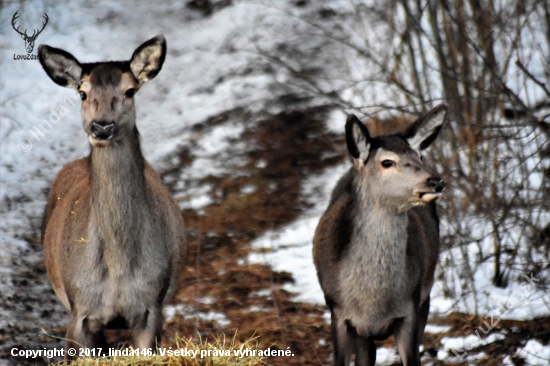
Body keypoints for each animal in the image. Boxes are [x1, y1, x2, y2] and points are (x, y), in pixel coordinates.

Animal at [39, 35, 188, 358]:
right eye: (82, 92)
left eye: (129, 90)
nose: (101, 126)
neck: (118, 267)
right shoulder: (79, 311)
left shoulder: (151, 305)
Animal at [314, 103, 448, 366]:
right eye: (387, 162)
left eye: (418, 156)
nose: (436, 181)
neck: (372, 303)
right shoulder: (338, 312)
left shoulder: (411, 308)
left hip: (426, 296)